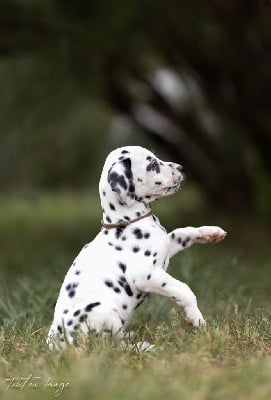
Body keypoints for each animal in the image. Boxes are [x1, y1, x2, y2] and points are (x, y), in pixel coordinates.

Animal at [47, 145, 227, 348]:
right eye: (152, 164)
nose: (182, 168)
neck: (126, 221)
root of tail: (54, 344)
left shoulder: (166, 246)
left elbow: (181, 232)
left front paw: (210, 233)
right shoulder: (145, 275)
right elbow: (184, 290)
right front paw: (197, 320)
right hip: (105, 313)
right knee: (115, 348)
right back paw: (145, 347)